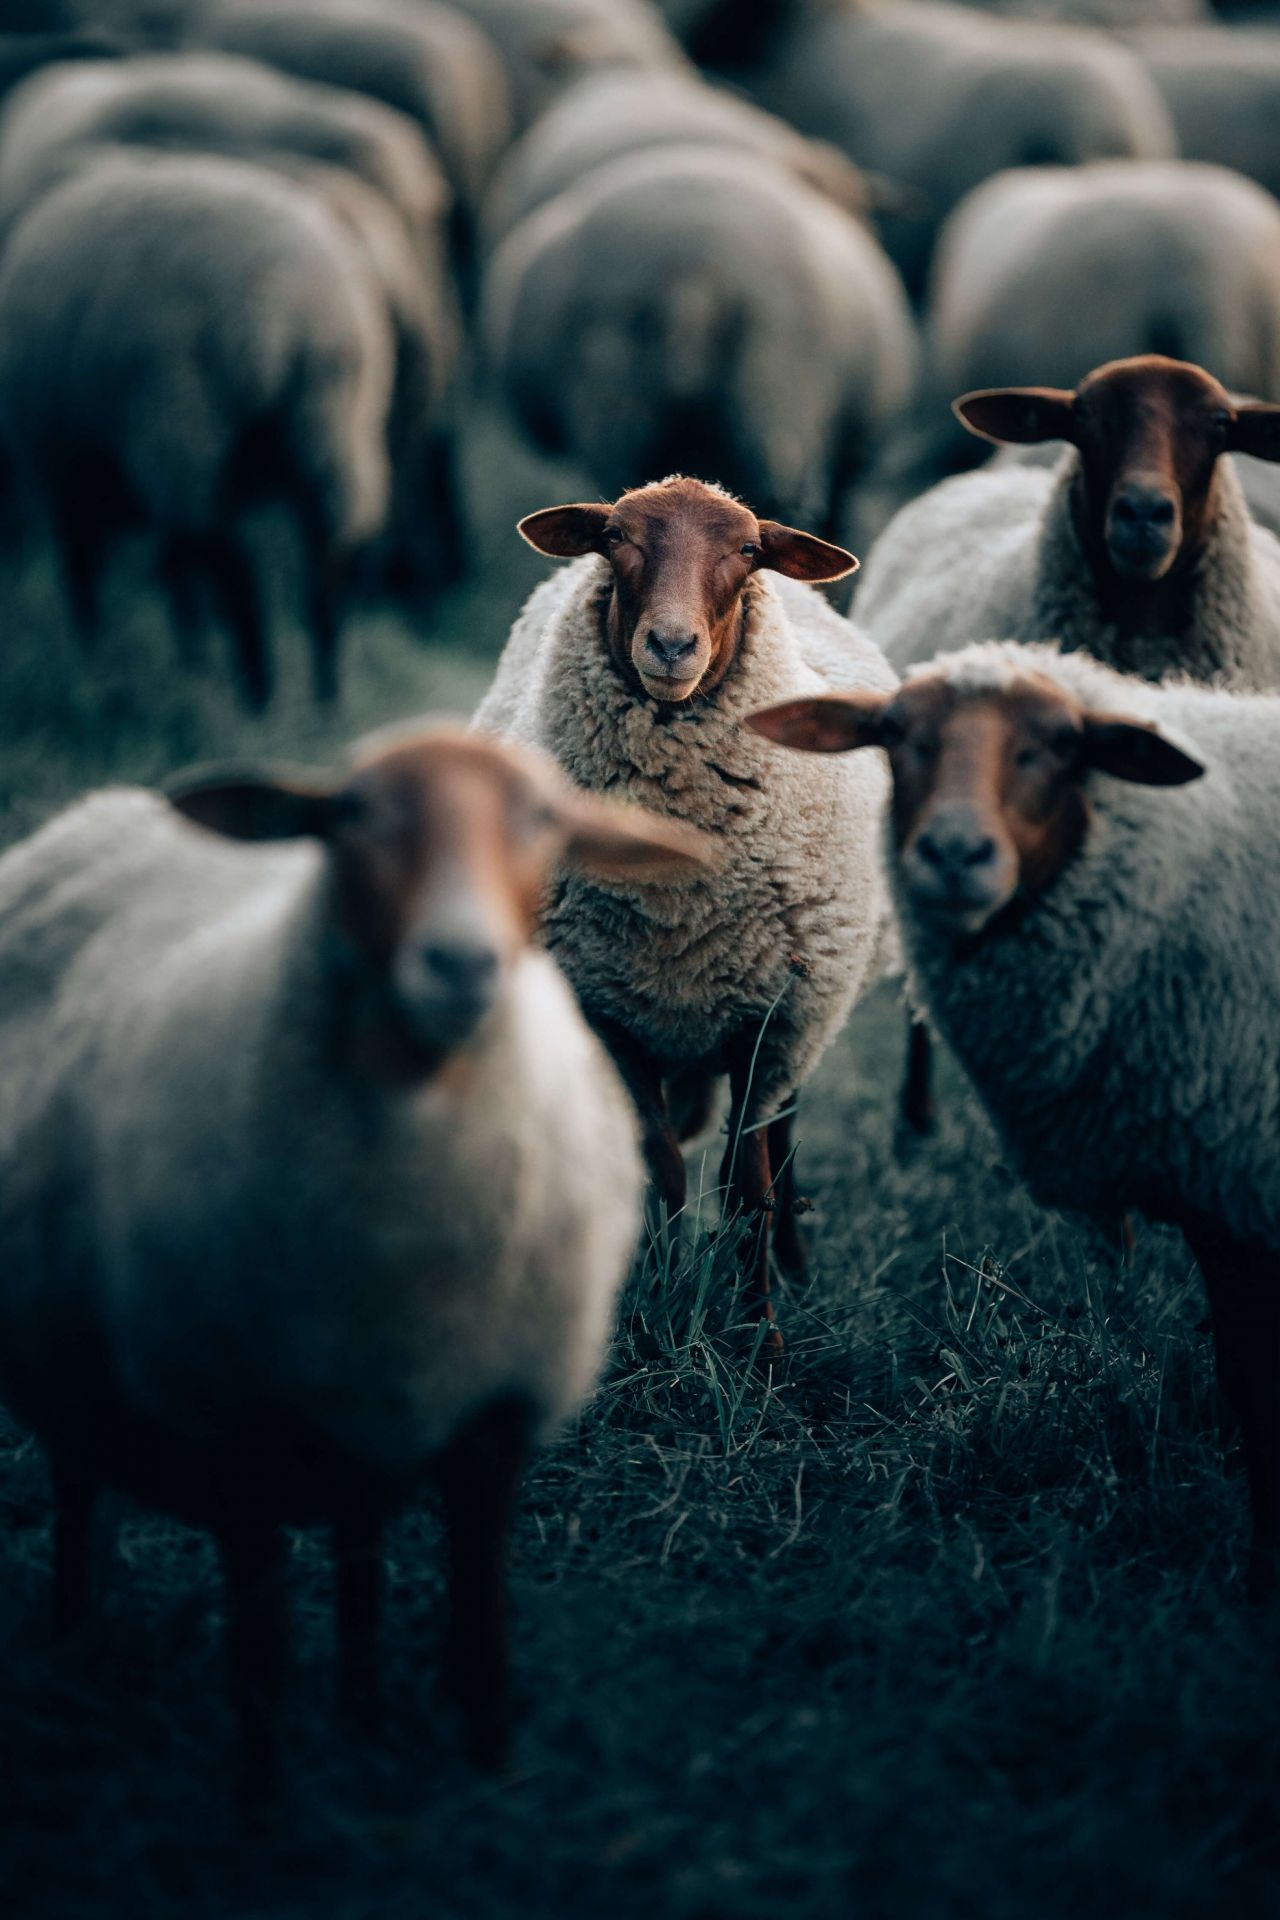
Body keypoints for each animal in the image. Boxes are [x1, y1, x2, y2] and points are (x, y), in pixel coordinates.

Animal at [0, 148, 396, 709]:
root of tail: (288, 309)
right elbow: (166, 572)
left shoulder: (64, 470)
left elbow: (88, 570)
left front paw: (95, 661)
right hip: (334, 418)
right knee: (327, 559)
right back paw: (324, 697)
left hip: (180, 421)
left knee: (229, 564)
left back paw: (256, 693)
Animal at [0, 723, 705, 1804]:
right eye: (351, 816)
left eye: (540, 820)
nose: (461, 964)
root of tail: (104, 806)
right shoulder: (235, 1424)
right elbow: (259, 1649)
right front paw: (263, 1804)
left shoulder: (493, 1420)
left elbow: (478, 1620)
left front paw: (485, 1761)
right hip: (76, 1355)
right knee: (79, 1491)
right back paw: (76, 1641)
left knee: (360, 1554)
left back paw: (362, 1712)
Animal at [473, 475, 896, 1333]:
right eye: (615, 538)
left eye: (747, 550)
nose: (670, 647)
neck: (680, 900)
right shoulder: (613, 1017)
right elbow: (663, 1171)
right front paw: (658, 1302)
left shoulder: (774, 1024)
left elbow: (745, 1186)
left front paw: (760, 1334)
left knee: (784, 1134)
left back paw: (796, 1267)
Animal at [747, 637, 1280, 1597]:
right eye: (897, 733)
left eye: (1061, 744)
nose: (955, 852)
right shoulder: (1222, 1186)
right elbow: (1242, 1372)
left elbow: (1254, 1379)